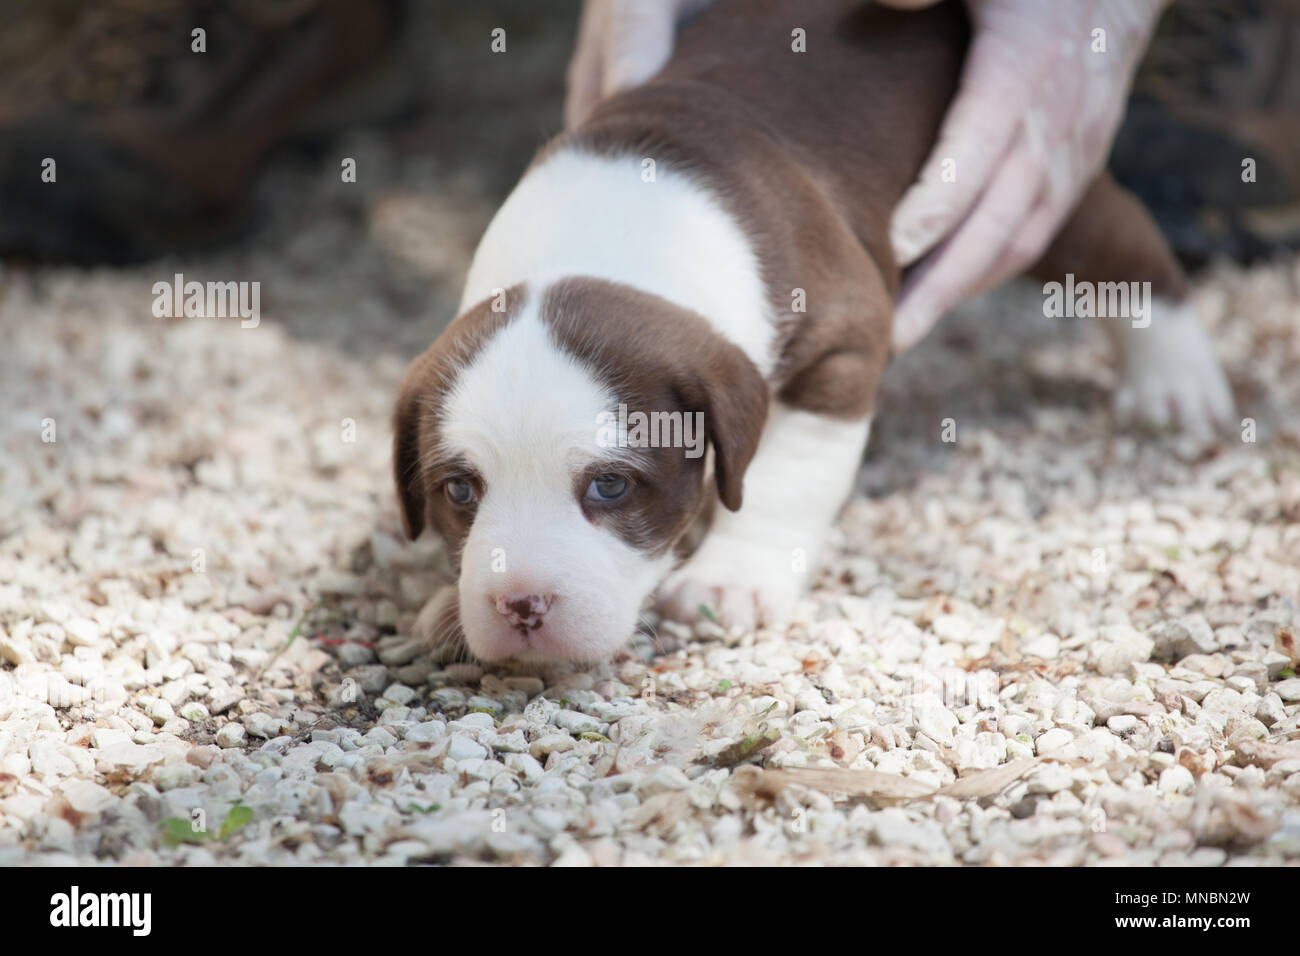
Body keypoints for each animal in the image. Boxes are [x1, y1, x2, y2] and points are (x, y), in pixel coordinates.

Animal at [390, 0, 1232, 665]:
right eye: (459, 490)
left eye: (610, 486)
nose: (519, 605)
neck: (610, 244)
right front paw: (447, 605)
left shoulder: (844, 347)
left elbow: (789, 475)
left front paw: (734, 578)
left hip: (1031, 178)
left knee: (1118, 239)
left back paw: (1175, 381)